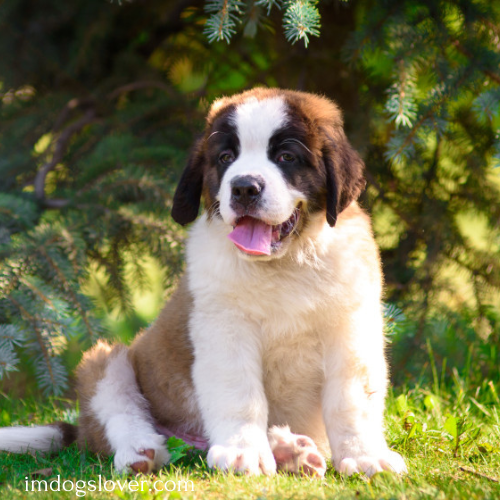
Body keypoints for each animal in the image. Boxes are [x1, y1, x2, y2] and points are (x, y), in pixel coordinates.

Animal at [0, 88, 406, 478]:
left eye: (287, 157)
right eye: (225, 157)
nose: (244, 188)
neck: (285, 264)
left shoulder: (351, 328)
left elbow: (352, 400)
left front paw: (365, 455)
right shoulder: (225, 329)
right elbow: (240, 394)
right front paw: (243, 451)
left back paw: (290, 451)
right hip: (105, 359)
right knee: (118, 407)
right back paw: (140, 450)